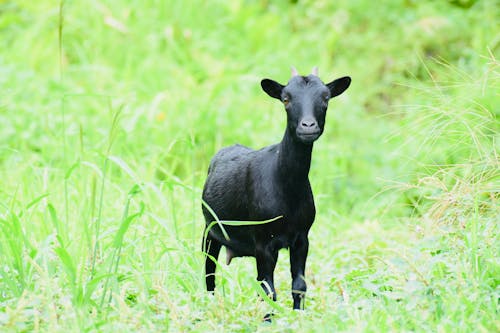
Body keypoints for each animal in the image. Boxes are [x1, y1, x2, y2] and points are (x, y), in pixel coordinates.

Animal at [201, 67, 350, 308]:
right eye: (286, 99)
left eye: (326, 97)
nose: (308, 126)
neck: (287, 190)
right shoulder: (263, 242)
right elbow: (267, 290)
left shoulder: (301, 238)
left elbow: (299, 286)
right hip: (210, 231)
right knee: (209, 273)